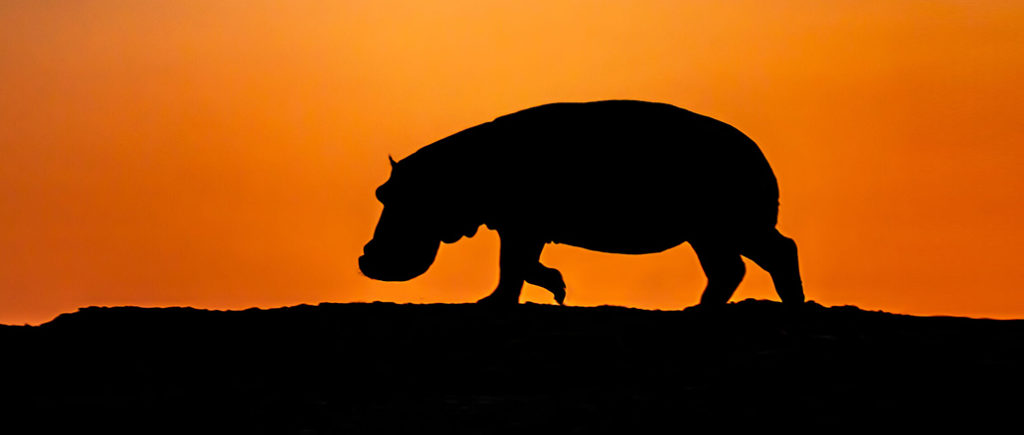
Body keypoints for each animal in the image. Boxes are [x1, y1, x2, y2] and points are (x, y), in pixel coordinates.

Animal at [359, 100, 804, 307]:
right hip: (710, 234)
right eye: (380, 193)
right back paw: (699, 310)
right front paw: (540, 292)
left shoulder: (521, 225)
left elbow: (513, 265)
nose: (366, 259)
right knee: (733, 268)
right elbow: (518, 267)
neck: (452, 173)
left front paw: (506, 300)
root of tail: (759, 156)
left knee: (777, 253)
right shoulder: (518, 226)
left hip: (731, 227)